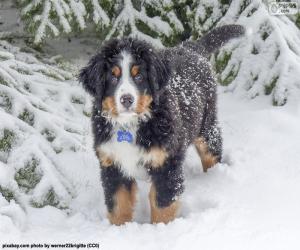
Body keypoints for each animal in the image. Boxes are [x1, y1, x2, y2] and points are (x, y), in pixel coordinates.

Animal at [79, 24, 244, 225]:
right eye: (112, 77)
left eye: (139, 76)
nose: (126, 99)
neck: (131, 124)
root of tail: (190, 47)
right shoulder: (112, 164)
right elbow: (118, 206)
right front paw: (119, 229)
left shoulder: (166, 164)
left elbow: (162, 205)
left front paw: (161, 229)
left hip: (206, 126)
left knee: (211, 153)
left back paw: (214, 178)